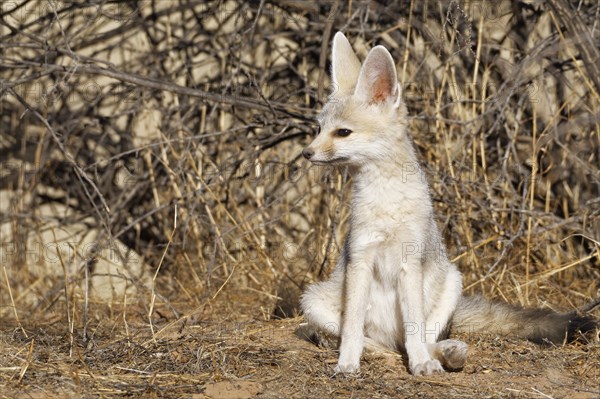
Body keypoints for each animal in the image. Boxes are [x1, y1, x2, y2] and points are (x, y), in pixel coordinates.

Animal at [298, 32, 596, 378]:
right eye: (319, 128)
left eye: (342, 132)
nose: (306, 153)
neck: (387, 204)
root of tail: (388, 337)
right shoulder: (359, 258)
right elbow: (352, 329)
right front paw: (347, 363)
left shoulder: (410, 262)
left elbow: (415, 329)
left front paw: (420, 364)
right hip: (313, 298)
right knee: (368, 340)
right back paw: (376, 352)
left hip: (452, 279)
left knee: (419, 340)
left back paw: (443, 354)